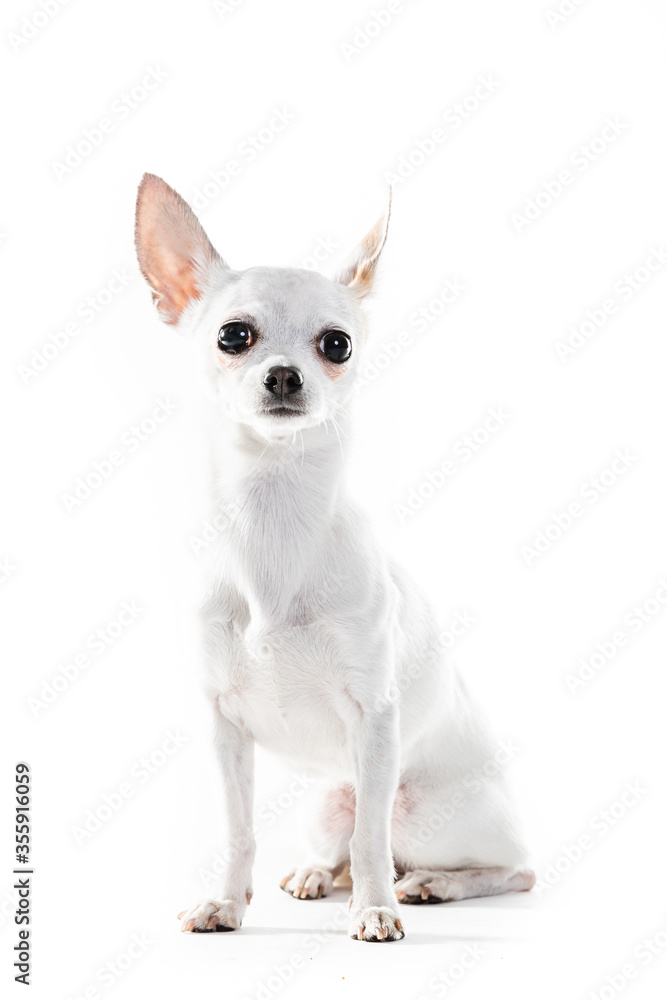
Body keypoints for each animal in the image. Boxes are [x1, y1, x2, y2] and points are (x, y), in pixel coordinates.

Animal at [134, 174, 532, 944]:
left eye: (337, 344)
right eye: (233, 335)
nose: (285, 376)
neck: (273, 517)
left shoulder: (374, 721)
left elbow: (372, 838)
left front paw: (376, 910)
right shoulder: (224, 732)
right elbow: (238, 829)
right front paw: (225, 904)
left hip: (432, 814)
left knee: (501, 868)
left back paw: (429, 885)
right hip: (328, 800)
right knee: (341, 844)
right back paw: (318, 875)